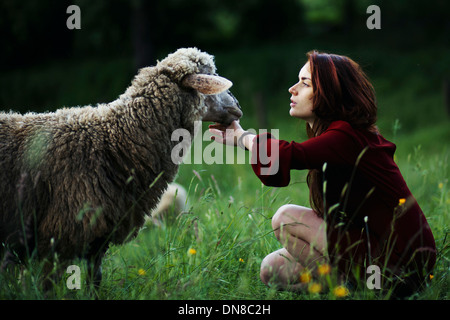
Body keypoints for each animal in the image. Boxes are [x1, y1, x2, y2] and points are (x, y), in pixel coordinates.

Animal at [0, 47, 243, 288]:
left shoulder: (98, 237)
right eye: (209, 77)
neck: (115, 139)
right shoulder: (58, 236)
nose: (238, 106)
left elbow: (95, 281)